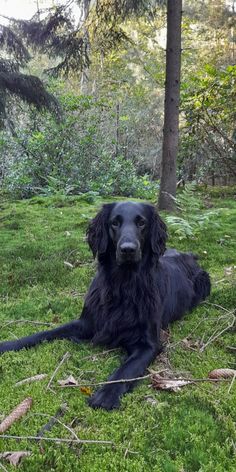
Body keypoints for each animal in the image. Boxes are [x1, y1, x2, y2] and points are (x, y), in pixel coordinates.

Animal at [0, 202, 210, 410]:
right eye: (114, 223)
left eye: (141, 223)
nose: (127, 249)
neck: (122, 284)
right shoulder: (86, 322)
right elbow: (44, 333)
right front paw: (8, 345)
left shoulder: (149, 344)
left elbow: (126, 370)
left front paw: (106, 395)